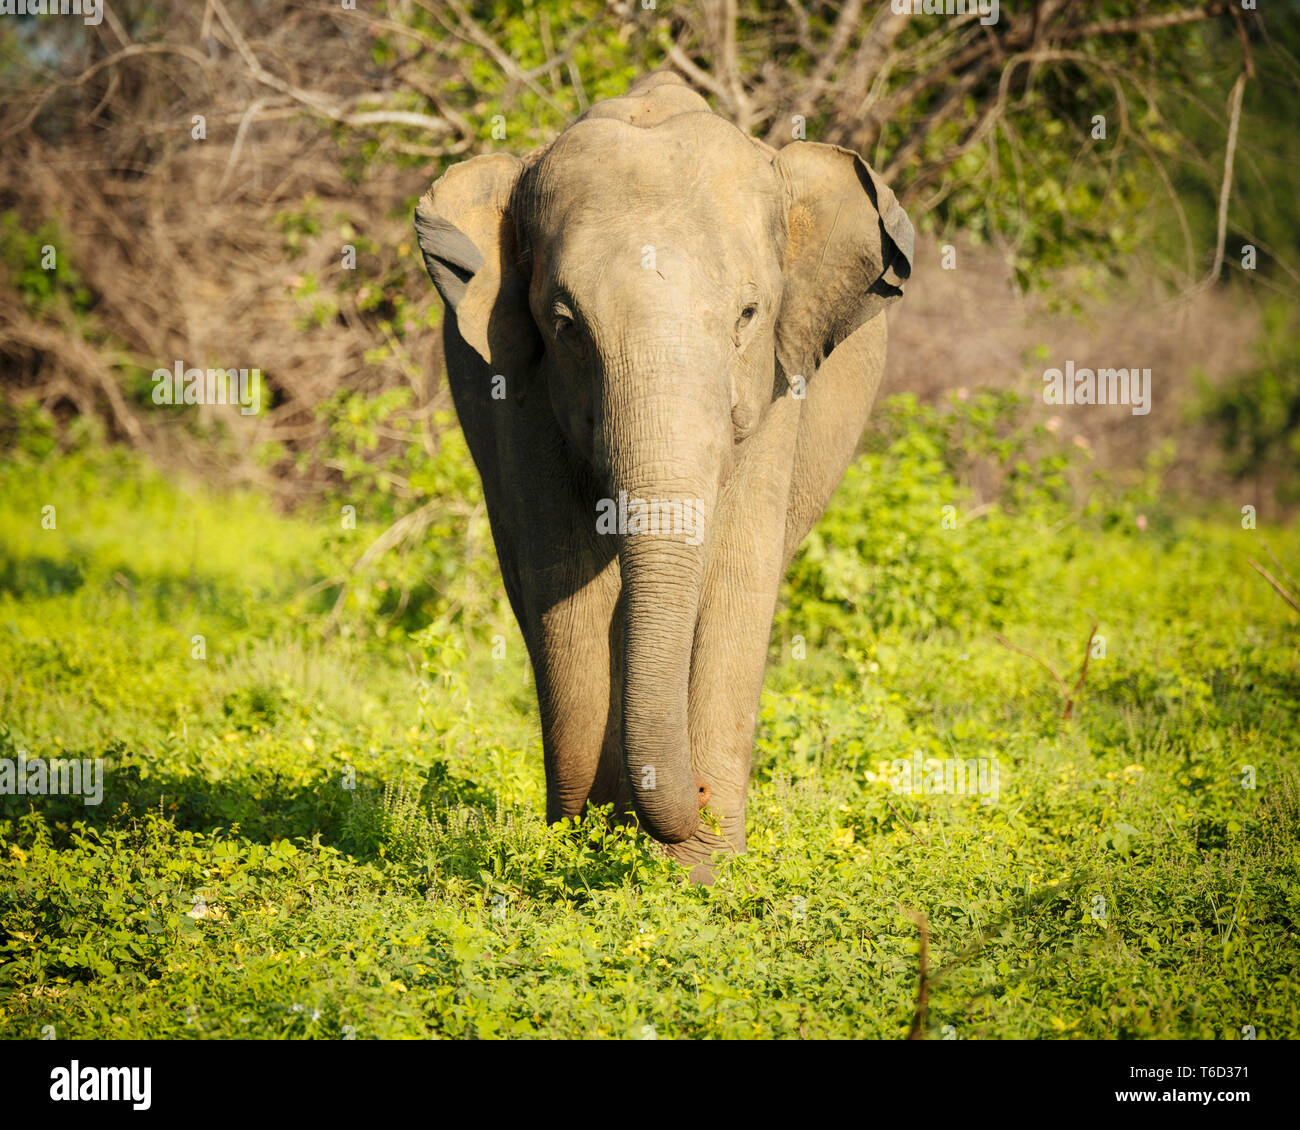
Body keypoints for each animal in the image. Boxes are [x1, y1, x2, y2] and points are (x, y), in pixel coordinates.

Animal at [416, 70, 915, 884]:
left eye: (748, 314)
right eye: (566, 325)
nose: (698, 803)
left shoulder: (776, 386)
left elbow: (736, 574)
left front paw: (703, 875)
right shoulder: (516, 386)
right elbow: (564, 580)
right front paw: (580, 856)